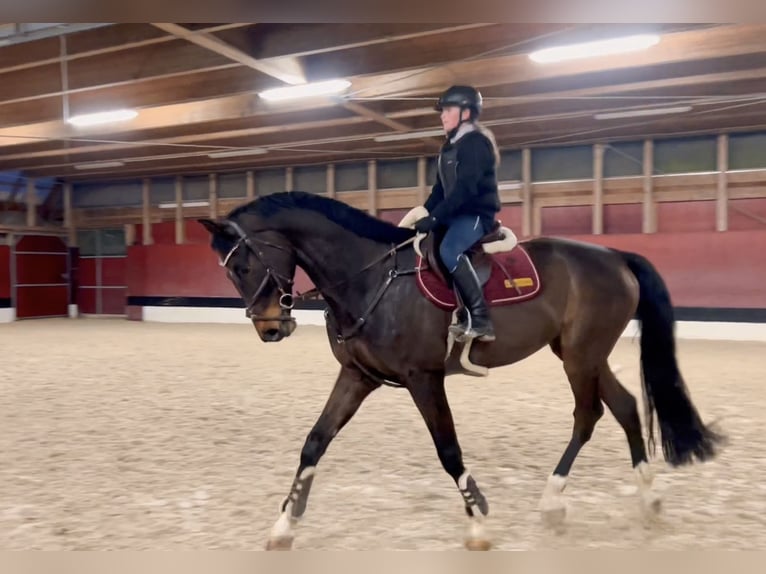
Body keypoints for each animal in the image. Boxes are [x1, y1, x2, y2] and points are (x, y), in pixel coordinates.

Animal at [198, 191, 728, 552]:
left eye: (243, 265)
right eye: (229, 271)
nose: (270, 327)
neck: (371, 277)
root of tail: (615, 256)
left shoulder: (423, 377)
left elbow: (448, 450)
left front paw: (478, 524)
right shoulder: (357, 376)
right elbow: (314, 442)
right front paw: (284, 525)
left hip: (582, 355)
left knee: (589, 414)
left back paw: (559, 500)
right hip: (582, 354)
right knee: (623, 407)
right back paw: (640, 500)